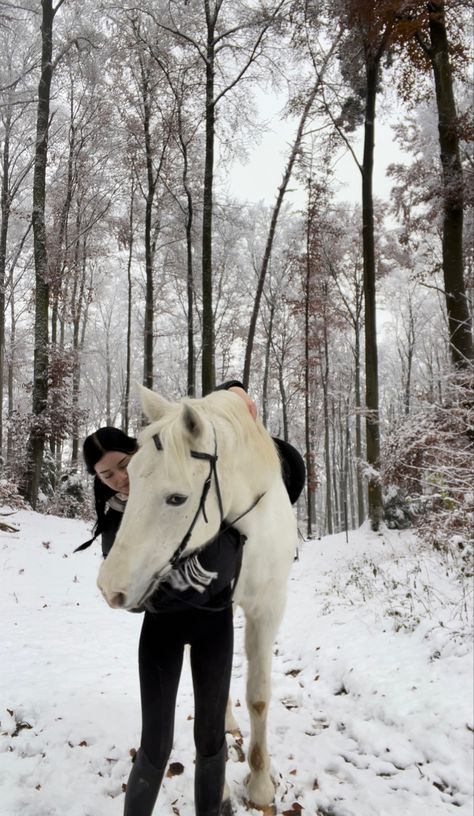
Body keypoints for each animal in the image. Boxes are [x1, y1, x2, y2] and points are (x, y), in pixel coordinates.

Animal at [96, 386, 298, 808]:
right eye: (131, 478)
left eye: (177, 498)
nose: (110, 585)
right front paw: (223, 787)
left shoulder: (267, 608)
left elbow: (258, 697)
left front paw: (260, 784)